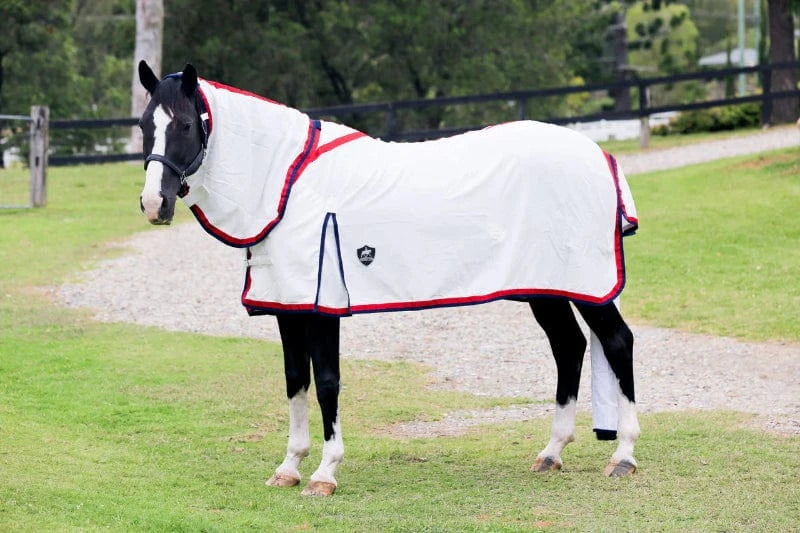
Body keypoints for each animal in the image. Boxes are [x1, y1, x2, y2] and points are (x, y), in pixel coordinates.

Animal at [136, 61, 640, 496]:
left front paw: (325, 473)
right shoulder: (287, 305)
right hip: (546, 288)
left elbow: (327, 382)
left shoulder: (322, 306)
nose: (153, 204)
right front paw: (289, 467)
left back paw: (623, 456)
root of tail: (599, 154)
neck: (290, 186)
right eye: (143, 125)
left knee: (617, 343)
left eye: (184, 124)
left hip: (587, 288)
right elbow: (295, 378)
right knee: (568, 347)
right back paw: (552, 452)